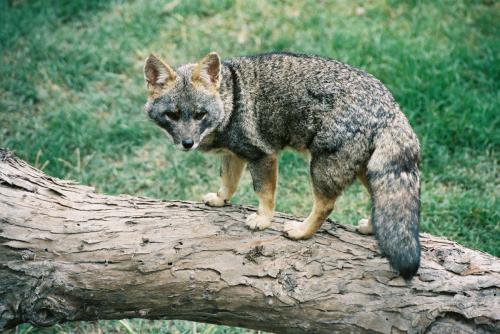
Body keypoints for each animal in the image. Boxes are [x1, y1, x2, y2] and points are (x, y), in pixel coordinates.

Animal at [143, 51, 420, 278]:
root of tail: (391, 106)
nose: (187, 143)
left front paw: (263, 220)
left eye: (200, 114)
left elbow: (263, 192)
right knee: (379, 200)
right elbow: (228, 182)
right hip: (366, 170)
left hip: (321, 167)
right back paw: (371, 227)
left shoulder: (262, 155)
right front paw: (221, 199)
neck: (231, 99)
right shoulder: (235, 154)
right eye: (172, 115)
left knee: (326, 206)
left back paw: (302, 231)